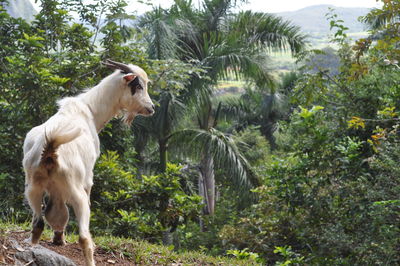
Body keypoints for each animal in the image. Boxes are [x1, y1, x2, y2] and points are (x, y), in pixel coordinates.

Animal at [22, 60, 155, 266]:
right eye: (139, 85)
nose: (151, 107)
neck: (90, 110)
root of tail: (50, 149)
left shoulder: (54, 190)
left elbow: (57, 213)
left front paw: (58, 239)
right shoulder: (88, 178)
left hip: (32, 187)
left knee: (38, 223)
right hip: (78, 193)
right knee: (84, 236)